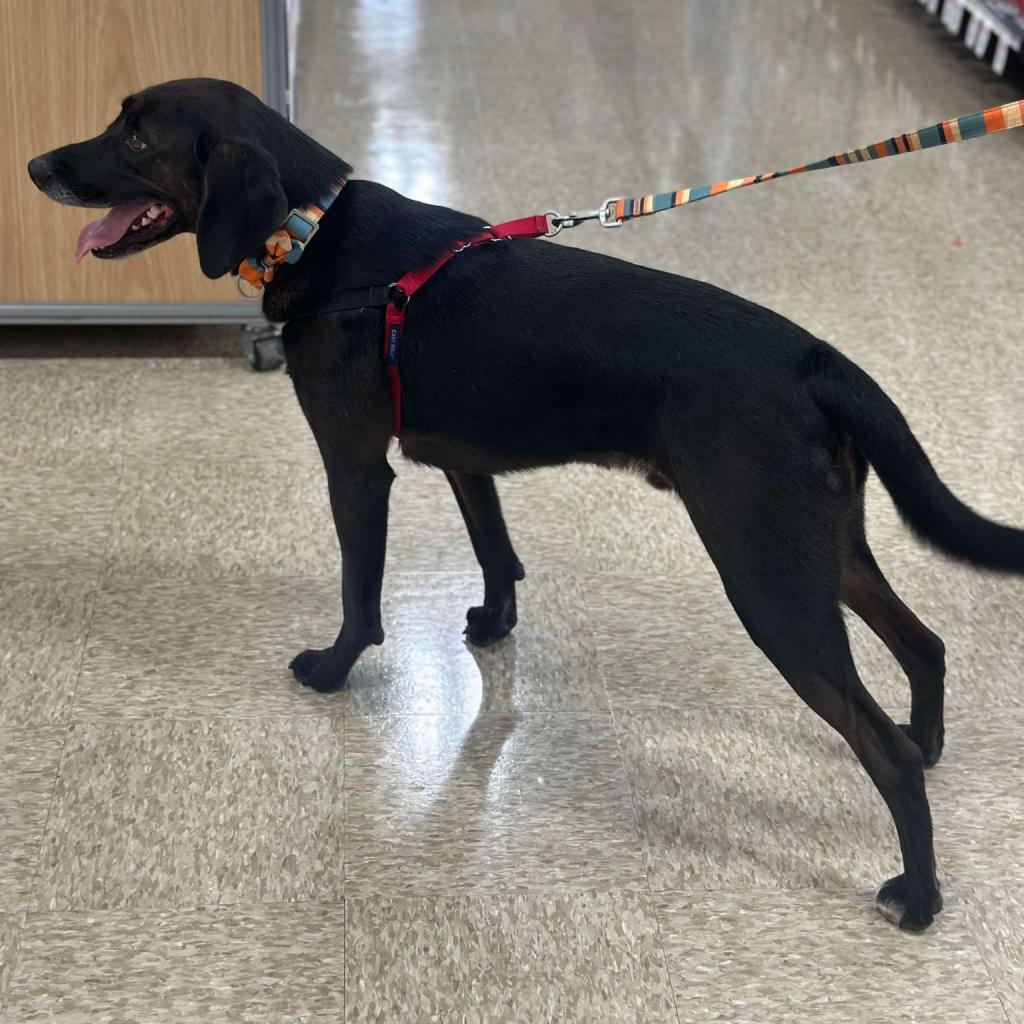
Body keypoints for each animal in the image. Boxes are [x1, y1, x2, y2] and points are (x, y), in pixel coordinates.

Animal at [29, 77, 1024, 929]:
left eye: (137, 137)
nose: (37, 166)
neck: (319, 238)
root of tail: (816, 357)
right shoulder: (461, 457)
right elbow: (495, 551)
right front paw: (494, 626)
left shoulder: (356, 465)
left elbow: (361, 592)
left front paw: (334, 669)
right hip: (822, 548)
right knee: (925, 645)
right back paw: (931, 739)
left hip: (768, 578)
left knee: (886, 752)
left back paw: (920, 895)